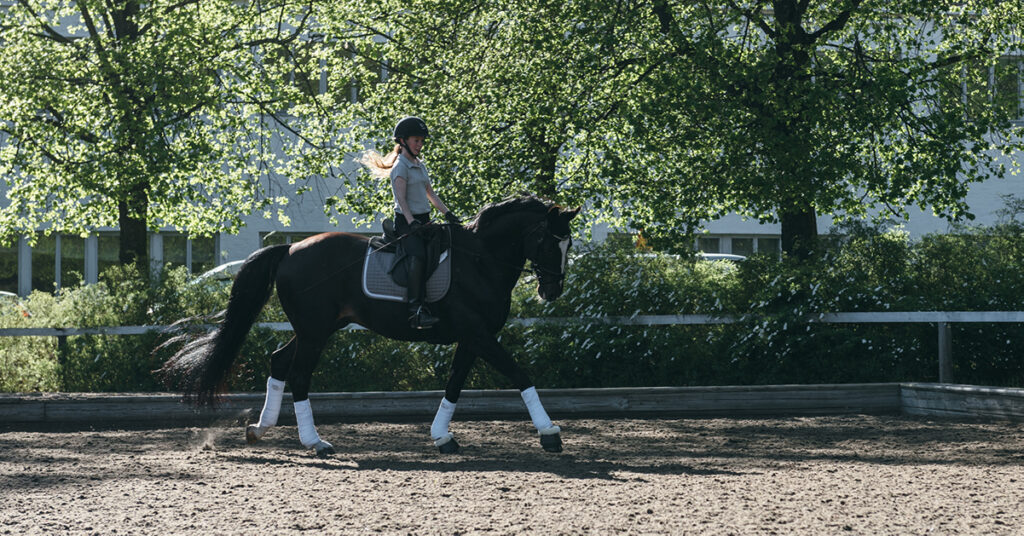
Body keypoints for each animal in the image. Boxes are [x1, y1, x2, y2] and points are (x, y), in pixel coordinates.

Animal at [156, 194, 581, 459]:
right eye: (549, 241)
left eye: (569, 244)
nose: (552, 290)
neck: (480, 261)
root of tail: (290, 248)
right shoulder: (478, 334)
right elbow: (520, 374)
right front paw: (550, 434)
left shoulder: (470, 338)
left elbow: (454, 385)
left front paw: (442, 437)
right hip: (316, 331)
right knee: (299, 375)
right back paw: (316, 443)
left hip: (317, 328)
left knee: (279, 361)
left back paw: (259, 429)